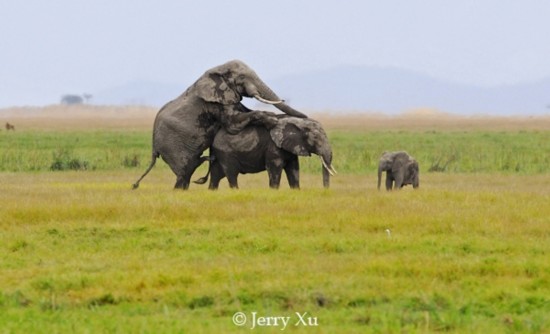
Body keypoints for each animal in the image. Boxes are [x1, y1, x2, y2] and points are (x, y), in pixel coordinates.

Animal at [132, 59, 308, 190]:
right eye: (242, 77)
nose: (306, 116)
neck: (217, 70)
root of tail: (154, 146)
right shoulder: (215, 103)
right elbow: (233, 124)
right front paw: (272, 120)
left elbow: (244, 111)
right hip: (172, 147)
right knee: (184, 172)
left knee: (189, 170)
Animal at [196, 115, 338, 189]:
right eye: (316, 139)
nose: (325, 191)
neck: (298, 121)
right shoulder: (273, 147)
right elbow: (275, 168)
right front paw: (274, 191)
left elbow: (294, 169)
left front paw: (296, 190)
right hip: (226, 153)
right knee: (231, 174)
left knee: (216, 175)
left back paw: (212, 192)